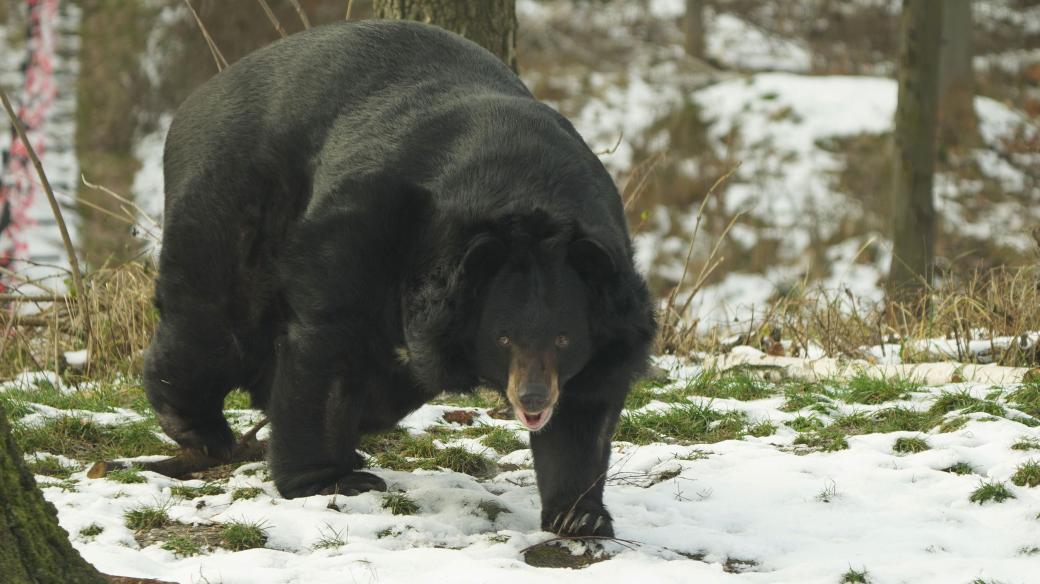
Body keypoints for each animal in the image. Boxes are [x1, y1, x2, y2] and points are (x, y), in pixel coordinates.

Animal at [143, 20, 653, 536]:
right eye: (503, 338)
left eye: (564, 339)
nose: (532, 398)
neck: (528, 185)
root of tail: (197, 99)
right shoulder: (368, 226)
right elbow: (328, 343)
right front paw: (328, 479)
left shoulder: (608, 310)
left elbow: (584, 411)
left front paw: (579, 516)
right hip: (233, 199)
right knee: (213, 318)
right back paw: (200, 428)